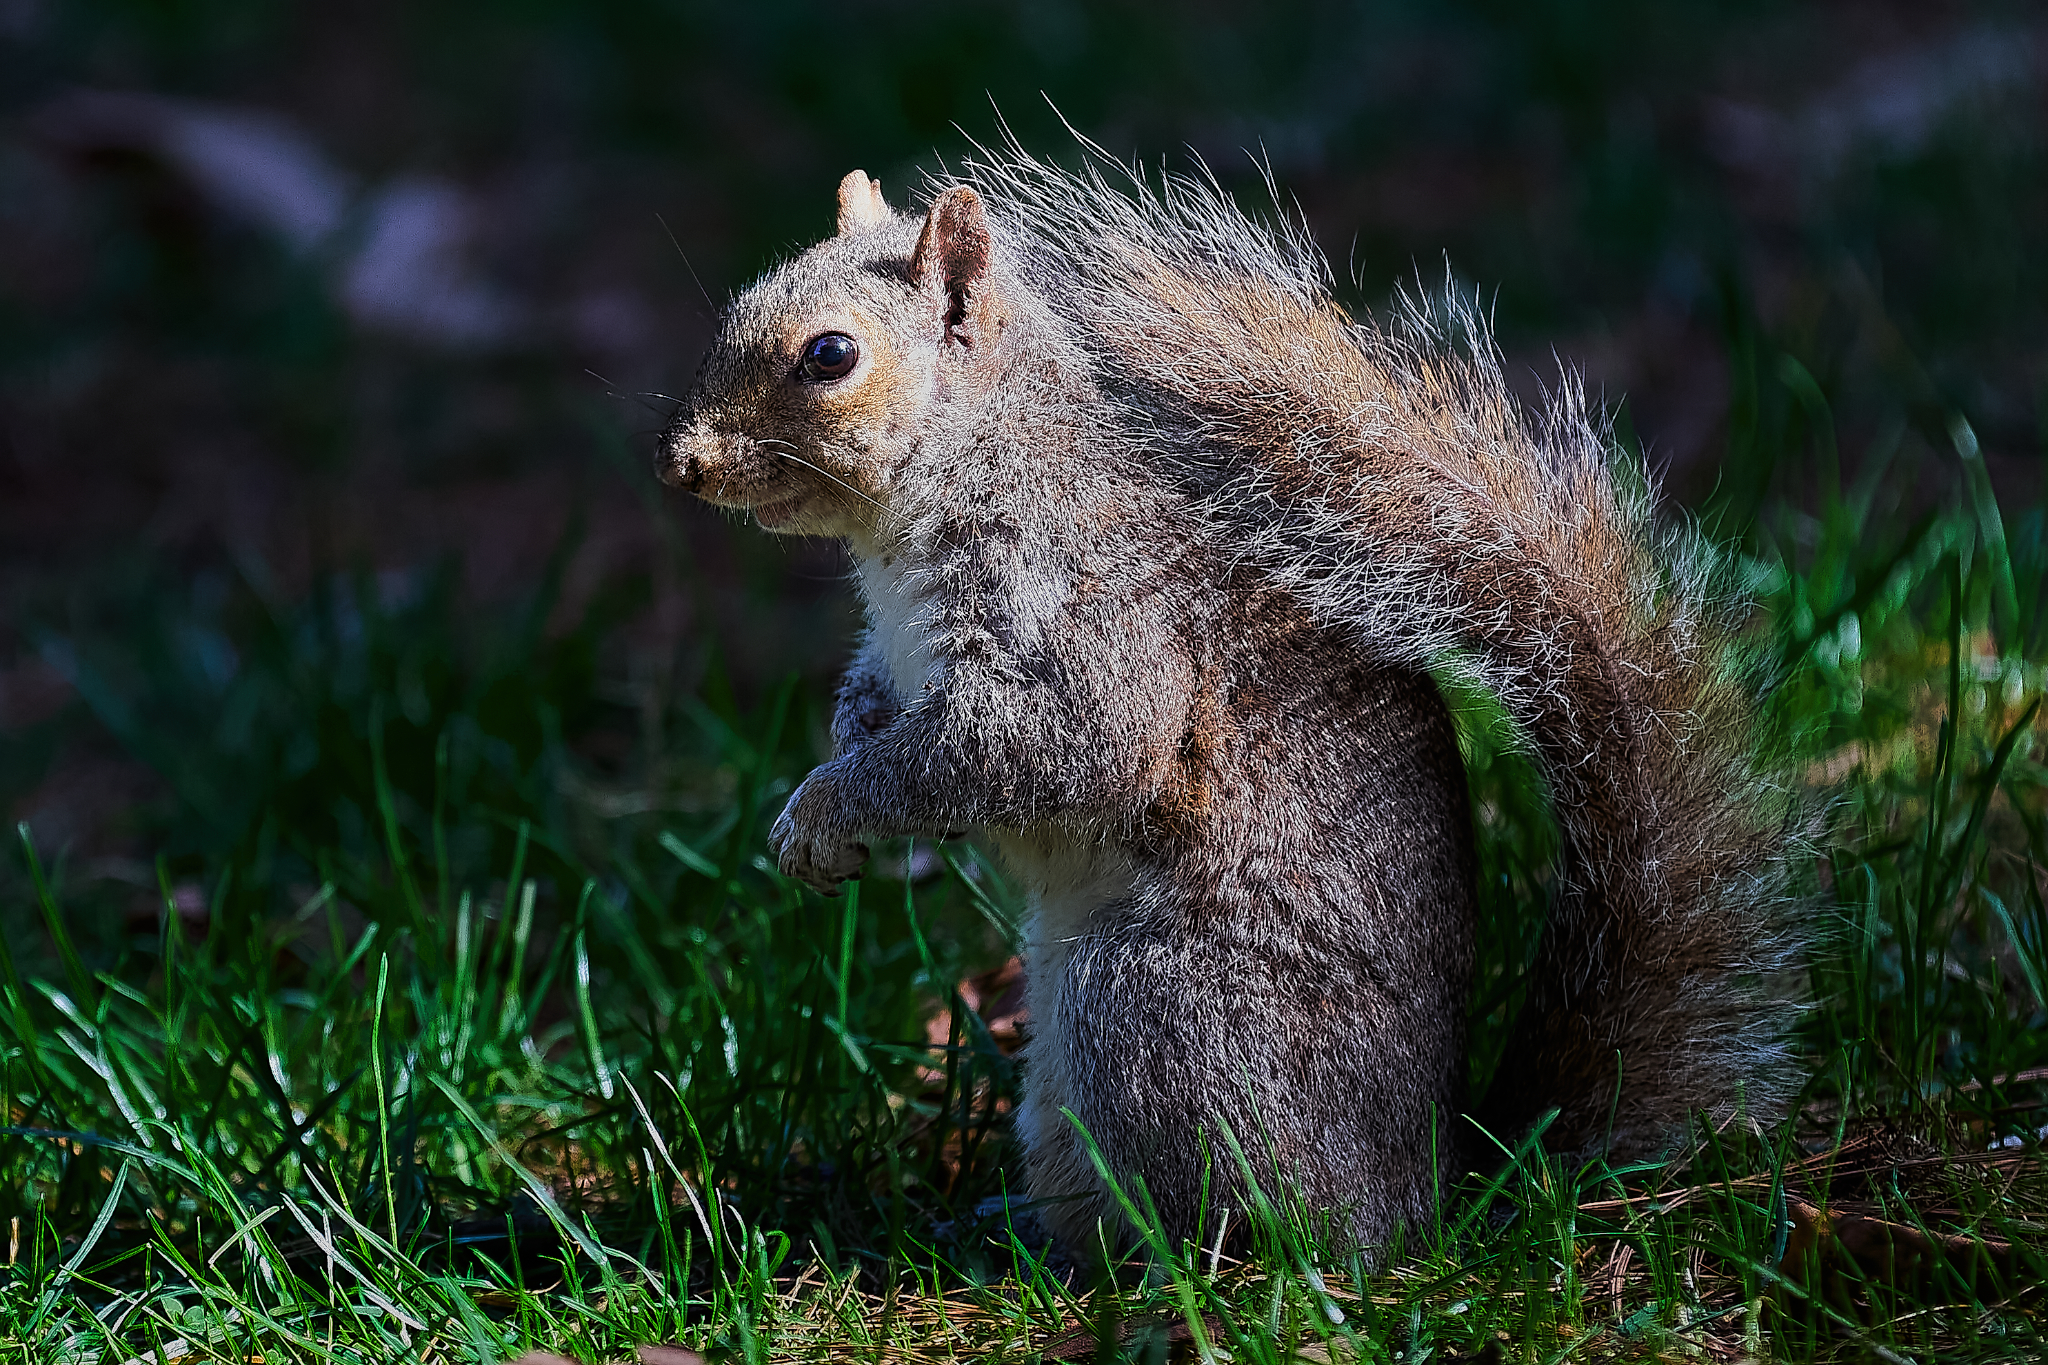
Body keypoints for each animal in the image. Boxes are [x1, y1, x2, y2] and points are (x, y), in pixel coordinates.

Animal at [659, 148, 1807, 1260]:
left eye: (831, 356)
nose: (683, 464)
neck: (946, 485)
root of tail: (1434, 1193)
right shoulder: (895, 653)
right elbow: (876, 702)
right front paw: (832, 779)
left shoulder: (1082, 611)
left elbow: (1055, 746)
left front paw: (826, 805)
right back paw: (1005, 1234)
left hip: (1147, 1014)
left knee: (1251, 1224)